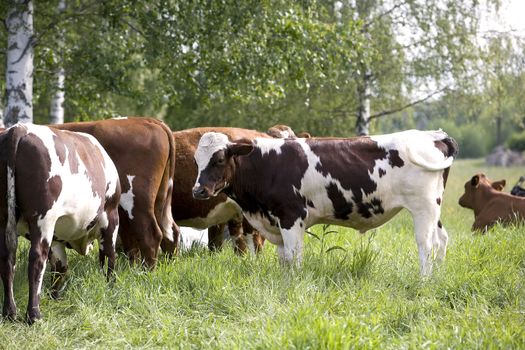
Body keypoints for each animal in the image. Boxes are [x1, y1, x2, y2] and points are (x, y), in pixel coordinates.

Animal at [0, 123, 119, 322]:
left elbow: (60, 266)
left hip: (4, 217)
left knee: (8, 257)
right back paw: (34, 314)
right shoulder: (110, 215)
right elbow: (109, 255)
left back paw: (10, 312)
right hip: (44, 217)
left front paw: (54, 297)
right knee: (37, 259)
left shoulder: (57, 235)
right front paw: (111, 285)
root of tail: (19, 128)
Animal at [190, 130, 456, 274]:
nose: (198, 190)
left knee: (426, 244)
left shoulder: (292, 216)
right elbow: (283, 258)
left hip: (423, 207)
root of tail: (434, 135)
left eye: (219, 159)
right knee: (442, 239)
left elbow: (294, 256)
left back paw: (424, 280)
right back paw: (438, 275)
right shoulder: (275, 220)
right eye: (196, 161)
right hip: (435, 207)